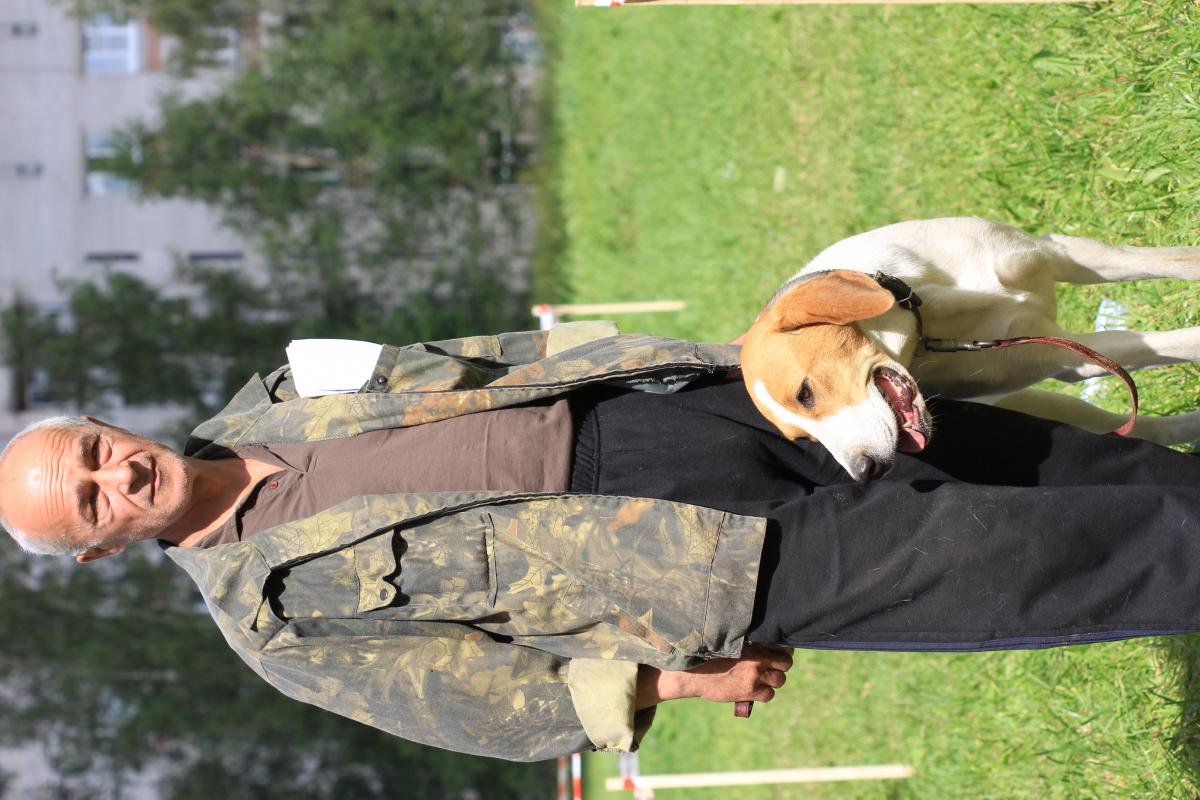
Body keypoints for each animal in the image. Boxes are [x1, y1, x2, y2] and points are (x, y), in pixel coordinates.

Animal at [739, 217, 1200, 482]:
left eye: (805, 394)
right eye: (805, 440)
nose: (865, 473)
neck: (923, 309)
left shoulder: (1058, 252)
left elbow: (1175, 262)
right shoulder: (1064, 358)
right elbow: (1172, 343)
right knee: (1136, 428)